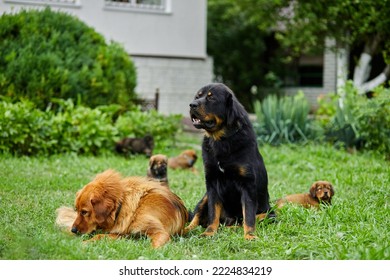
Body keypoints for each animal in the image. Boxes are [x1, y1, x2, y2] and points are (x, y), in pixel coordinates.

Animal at [55, 170, 188, 248]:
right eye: (77, 210)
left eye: (84, 212)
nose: (73, 230)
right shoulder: (123, 234)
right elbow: (101, 236)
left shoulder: (160, 232)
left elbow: (154, 246)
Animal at [185, 82, 274, 240]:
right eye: (197, 96)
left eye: (211, 98)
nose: (192, 104)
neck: (221, 139)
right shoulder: (212, 182)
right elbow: (213, 212)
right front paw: (209, 232)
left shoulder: (247, 184)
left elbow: (249, 215)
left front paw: (249, 235)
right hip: (204, 197)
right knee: (196, 216)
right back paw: (186, 230)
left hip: (270, 214)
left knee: (247, 220)